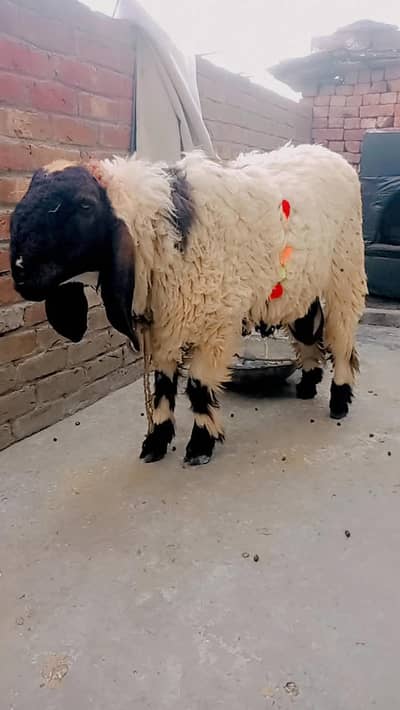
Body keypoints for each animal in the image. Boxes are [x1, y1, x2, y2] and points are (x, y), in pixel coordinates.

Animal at [10, 144, 367, 465]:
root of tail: (330, 155)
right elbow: (163, 384)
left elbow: (197, 387)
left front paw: (200, 446)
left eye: (85, 205)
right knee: (308, 330)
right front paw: (155, 442)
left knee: (341, 338)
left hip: (345, 274)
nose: (20, 273)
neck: (160, 235)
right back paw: (307, 384)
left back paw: (339, 400)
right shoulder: (164, 322)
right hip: (301, 286)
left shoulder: (215, 324)